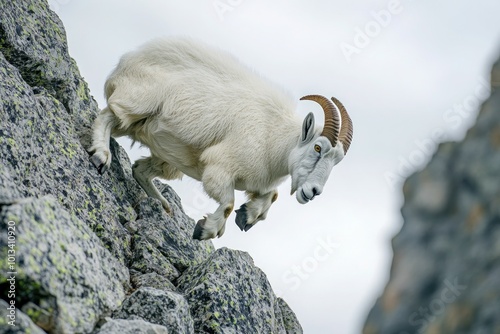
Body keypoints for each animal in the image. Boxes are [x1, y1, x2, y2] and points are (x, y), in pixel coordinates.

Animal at [88, 37, 354, 240]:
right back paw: (101, 156)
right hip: (136, 103)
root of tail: (126, 61)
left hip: (164, 154)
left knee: (140, 168)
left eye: (337, 161)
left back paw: (163, 205)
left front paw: (247, 216)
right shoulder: (220, 168)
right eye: (317, 147)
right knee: (107, 116)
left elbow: (272, 195)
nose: (313, 191)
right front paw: (205, 230)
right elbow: (227, 203)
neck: (273, 135)